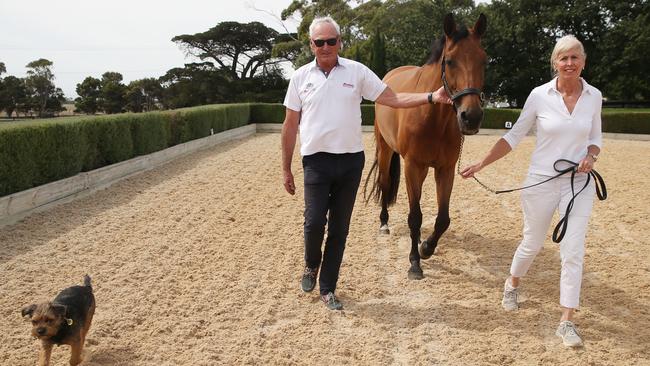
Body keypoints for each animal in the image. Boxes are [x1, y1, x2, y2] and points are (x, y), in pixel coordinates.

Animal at [362, 12, 484, 278]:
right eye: (450, 61)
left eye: (484, 60)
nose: (471, 117)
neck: (433, 117)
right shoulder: (412, 166)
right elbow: (415, 216)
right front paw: (415, 262)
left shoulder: (445, 169)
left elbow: (443, 218)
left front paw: (426, 247)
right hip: (386, 150)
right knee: (385, 183)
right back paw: (384, 224)